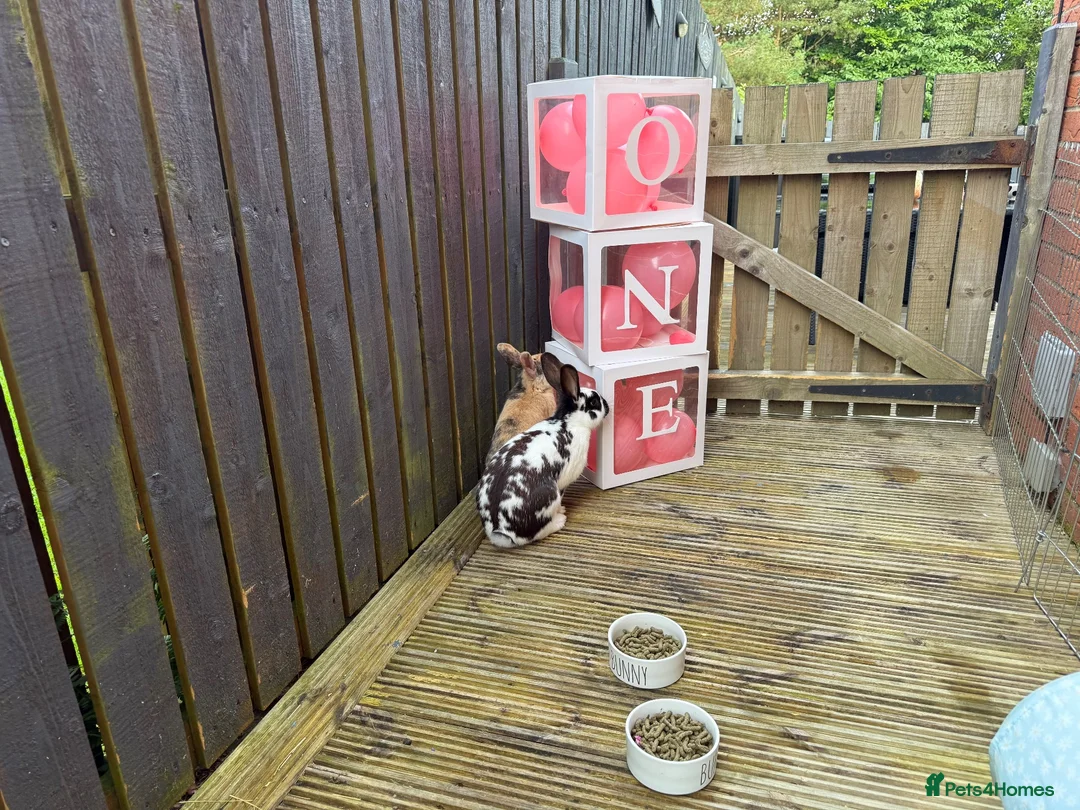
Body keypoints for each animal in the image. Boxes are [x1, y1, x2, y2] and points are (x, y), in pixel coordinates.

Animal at [476, 353, 609, 549]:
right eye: (594, 401)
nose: (607, 405)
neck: (568, 422)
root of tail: (501, 530)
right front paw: (562, 509)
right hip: (550, 494)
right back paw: (559, 519)